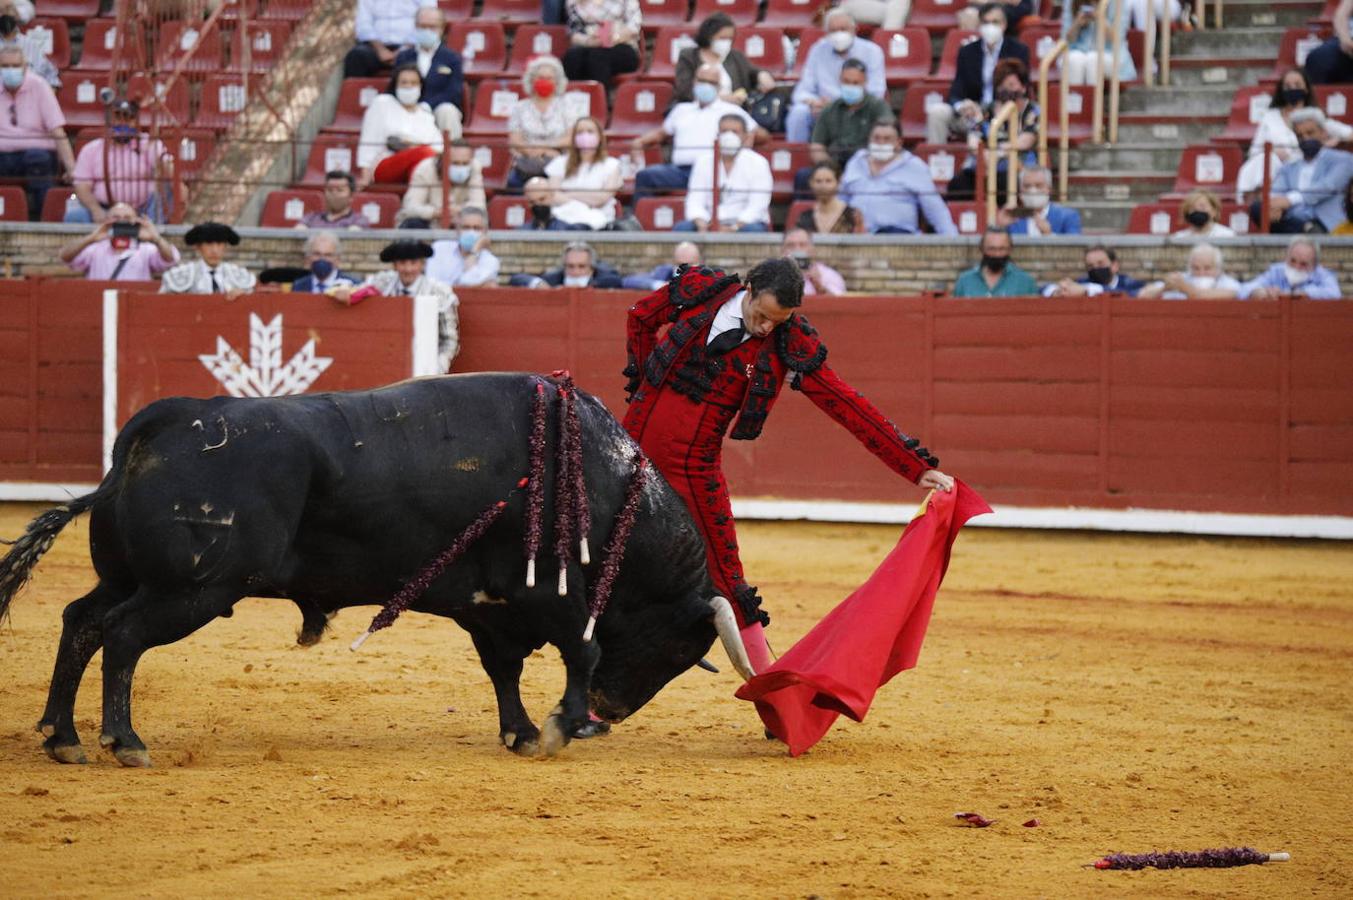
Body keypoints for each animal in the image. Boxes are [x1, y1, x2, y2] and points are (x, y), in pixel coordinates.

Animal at [0, 370, 757, 763]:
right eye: (680, 652)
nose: (611, 712)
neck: (609, 487)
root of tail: (155, 423)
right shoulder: (556, 600)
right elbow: (582, 650)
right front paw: (562, 725)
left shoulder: (491, 609)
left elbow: (504, 671)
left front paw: (520, 731)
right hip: (191, 589)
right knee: (123, 636)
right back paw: (124, 741)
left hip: (133, 579)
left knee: (81, 622)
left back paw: (63, 737)